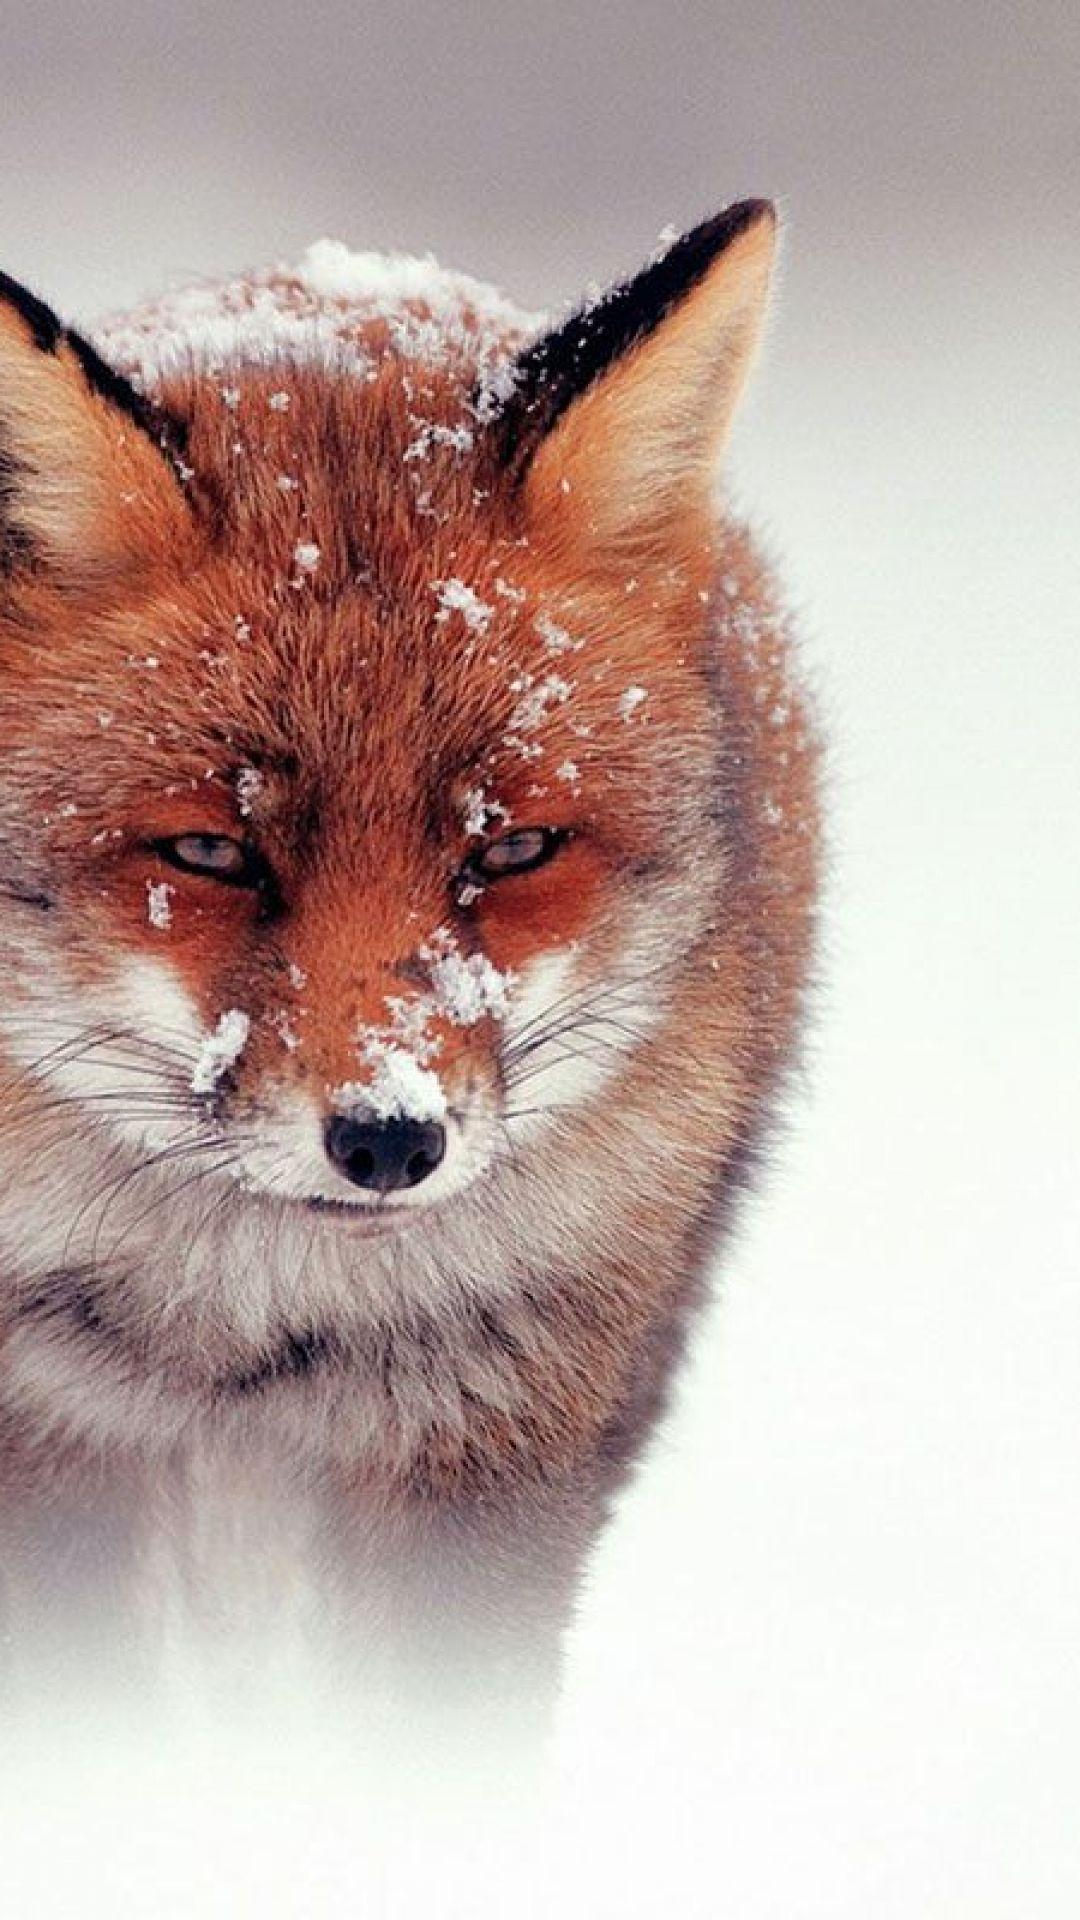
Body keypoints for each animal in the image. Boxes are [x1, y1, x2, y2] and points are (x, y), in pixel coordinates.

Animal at [0, 200, 818, 1731]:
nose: (389, 1139)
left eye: (515, 849)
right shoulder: (54, 1442)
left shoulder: (488, 1451)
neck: (252, 1333)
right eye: (211, 852)